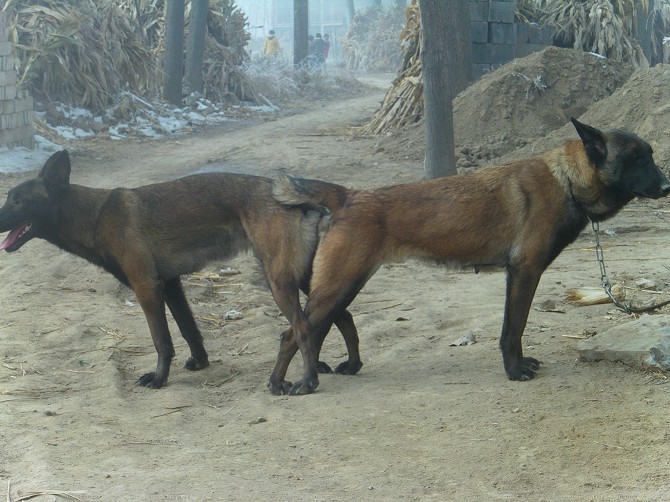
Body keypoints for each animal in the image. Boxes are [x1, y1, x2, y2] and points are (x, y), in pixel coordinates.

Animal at [0, 151, 362, 390]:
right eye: (9, 198)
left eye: (18, 201)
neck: (95, 215)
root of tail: (300, 199)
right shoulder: (171, 284)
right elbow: (189, 330)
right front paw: (200, 363)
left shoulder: (147, 287)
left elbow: (162, 340)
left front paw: (159, 379)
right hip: (300, 278)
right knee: (341, 315)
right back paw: (350, 365)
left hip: (280, 280)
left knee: (301, 327)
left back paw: (304, 381)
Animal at [268, 119, 670, 394]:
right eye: (636, 159)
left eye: (650, 156)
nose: (668, 186)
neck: (567, 180)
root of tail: (350, 196)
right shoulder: (525, 272)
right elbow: (513, 328)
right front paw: (514, 371)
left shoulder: (519, 275)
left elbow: (515, 329)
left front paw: (519, 364)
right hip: (339, 286)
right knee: (293, 333)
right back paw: (287, 384)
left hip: (340, 288)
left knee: (316, 329)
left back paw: (326, 373)